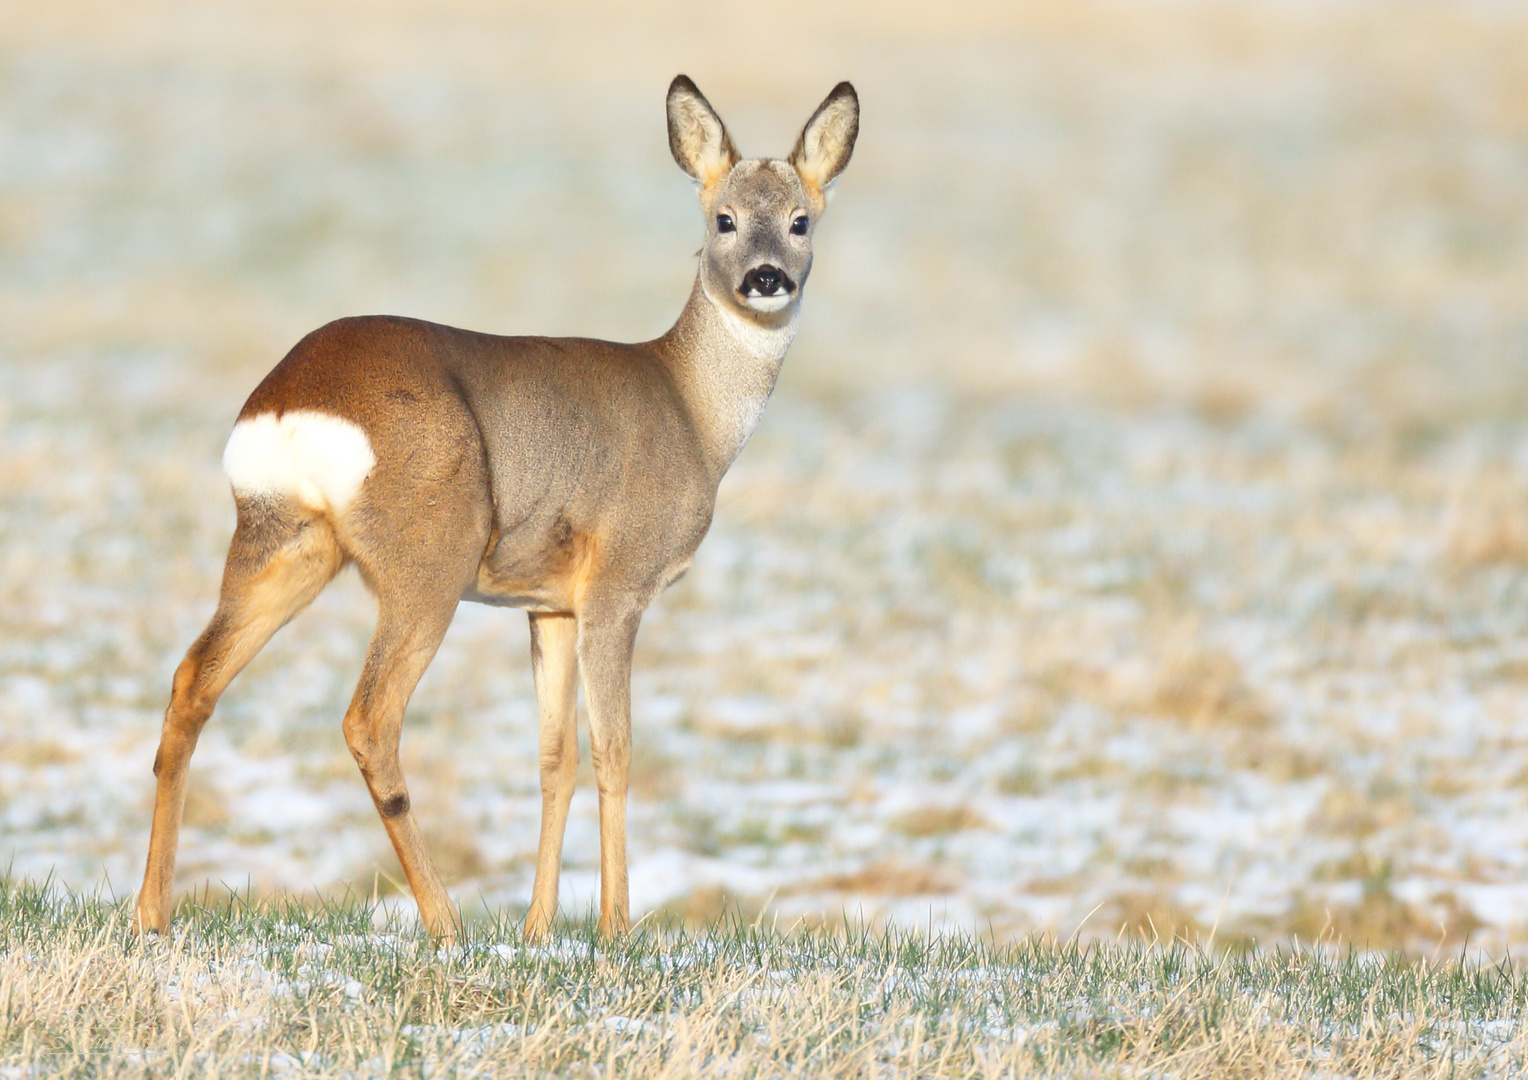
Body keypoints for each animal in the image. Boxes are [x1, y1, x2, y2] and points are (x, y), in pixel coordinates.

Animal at [134, 75, 861, 940]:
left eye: (800, 220)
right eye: (723, 218)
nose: (766, 278)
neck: (694, 415)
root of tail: (286, 402)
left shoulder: (549, 603)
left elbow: (554, 757)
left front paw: (540, 927)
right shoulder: (618, 582)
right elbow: (615, 749)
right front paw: (615, 929)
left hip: (280, 542)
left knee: (191, 681)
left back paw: (151, 912)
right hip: (428, 556)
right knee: (368, 718)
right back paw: (444, 920)